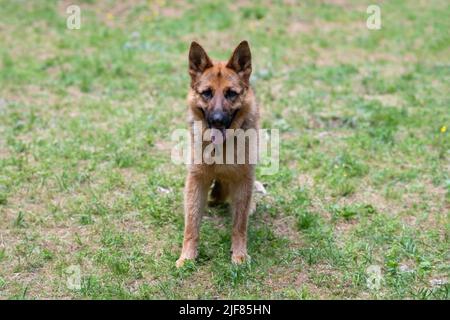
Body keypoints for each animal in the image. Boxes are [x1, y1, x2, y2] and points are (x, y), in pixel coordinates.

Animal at [177, 40, 260, 268]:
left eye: (231, 93)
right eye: (207, 93)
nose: (217, 120)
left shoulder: (243, 179)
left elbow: (239, 225)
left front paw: (239, 255)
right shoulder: (197, 179)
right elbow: (191, 225)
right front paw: (187, 257)